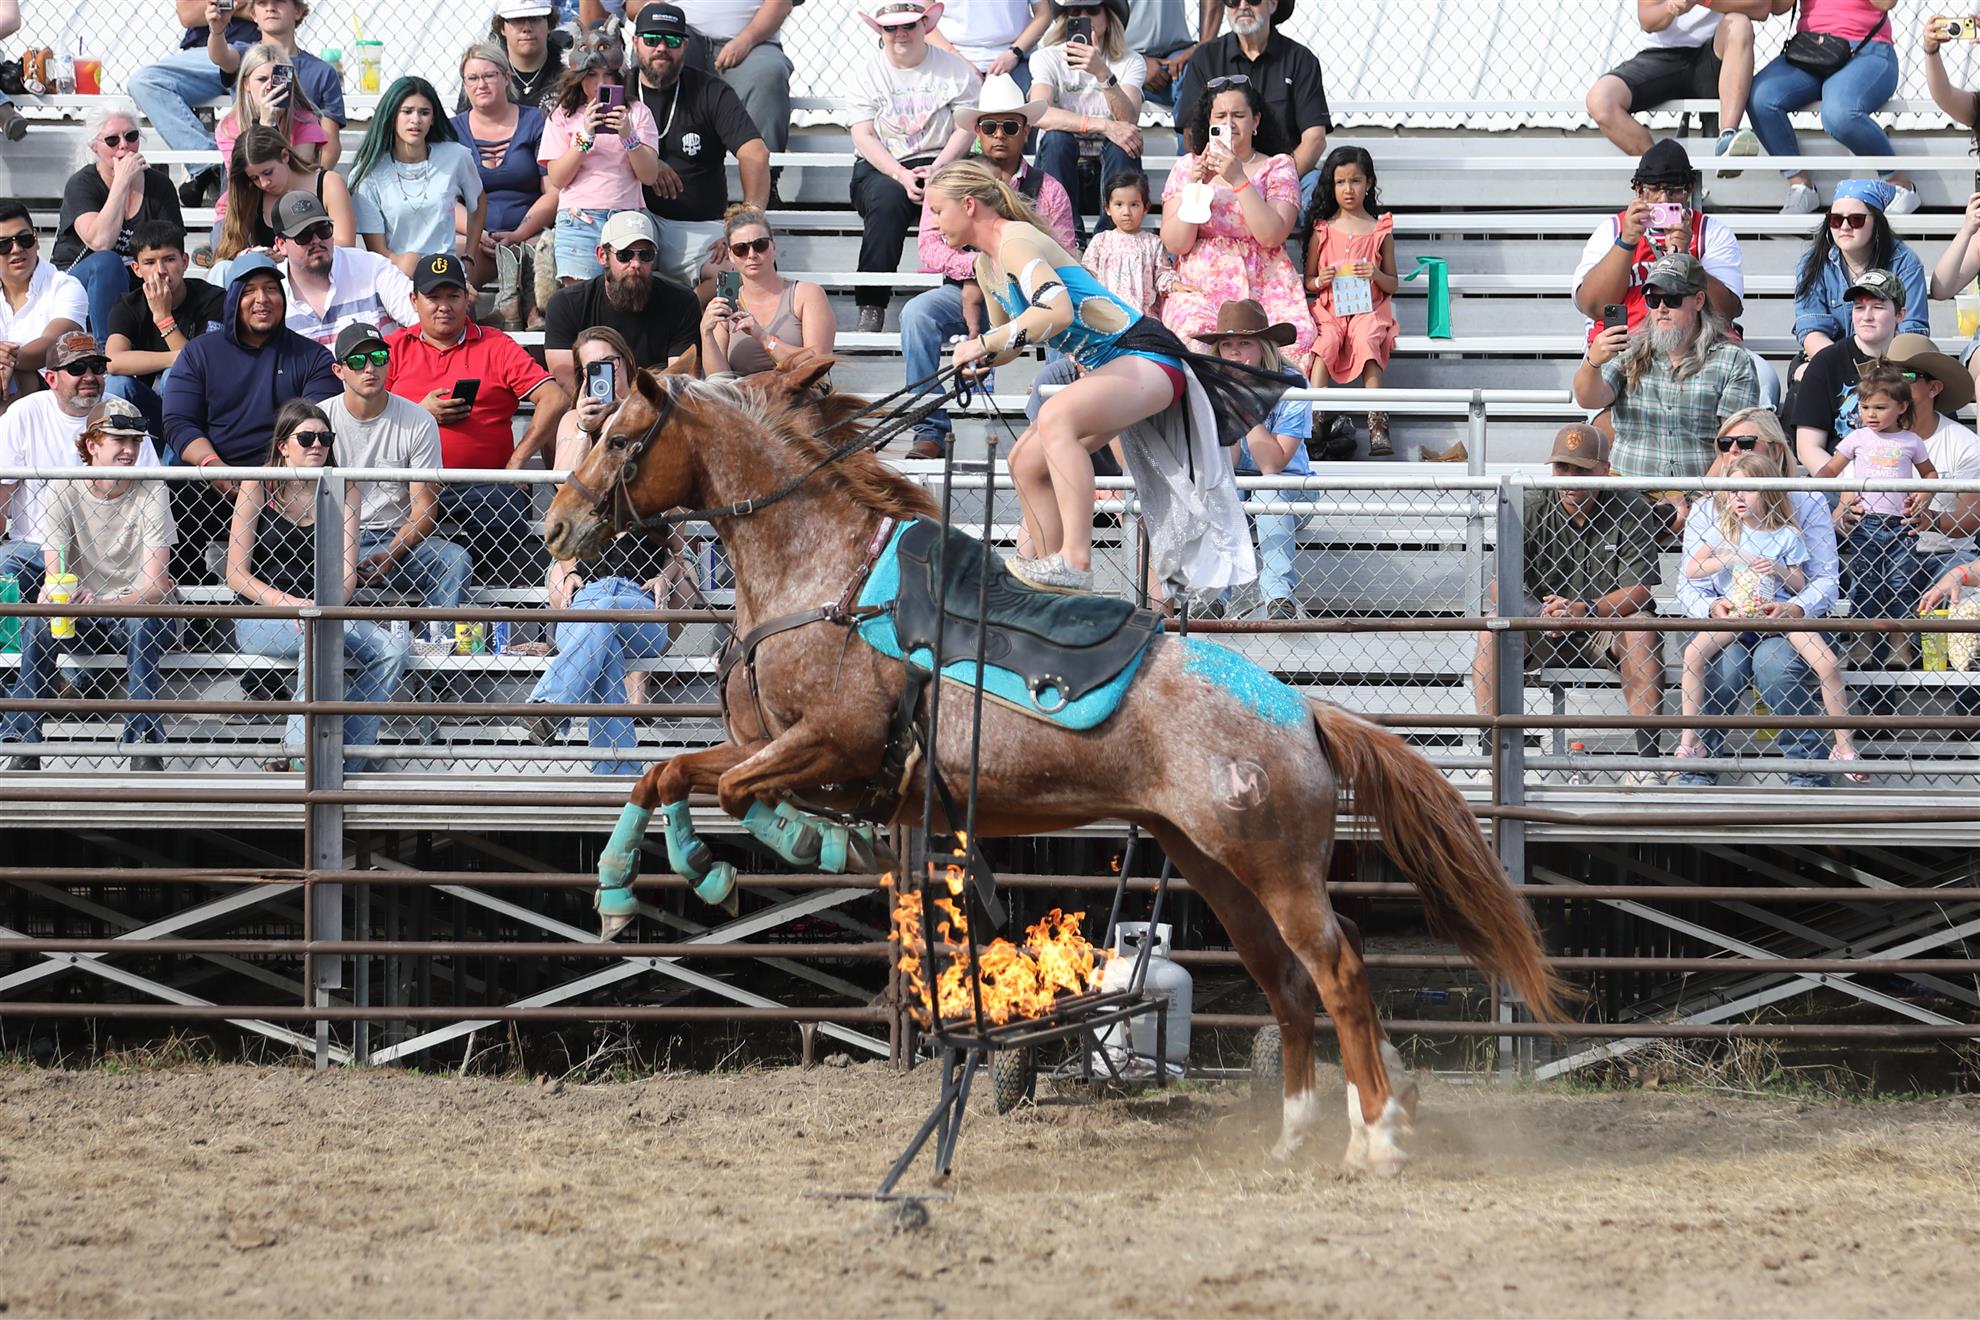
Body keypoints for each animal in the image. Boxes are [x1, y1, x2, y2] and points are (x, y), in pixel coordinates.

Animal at [543, 351, 1567, 1177]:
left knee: (1338, 972)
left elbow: (737, 791)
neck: (829, 578)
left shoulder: (833, 747)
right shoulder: (777, 747)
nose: (555, 526)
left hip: (1274, 869)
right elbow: (667, 777)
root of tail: (1307, 714)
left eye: (620, 435)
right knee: (1286, 983)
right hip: (1214, 863)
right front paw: (625, 887)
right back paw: (1293, 1136)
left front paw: (784, 852)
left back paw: (1377, 1139)